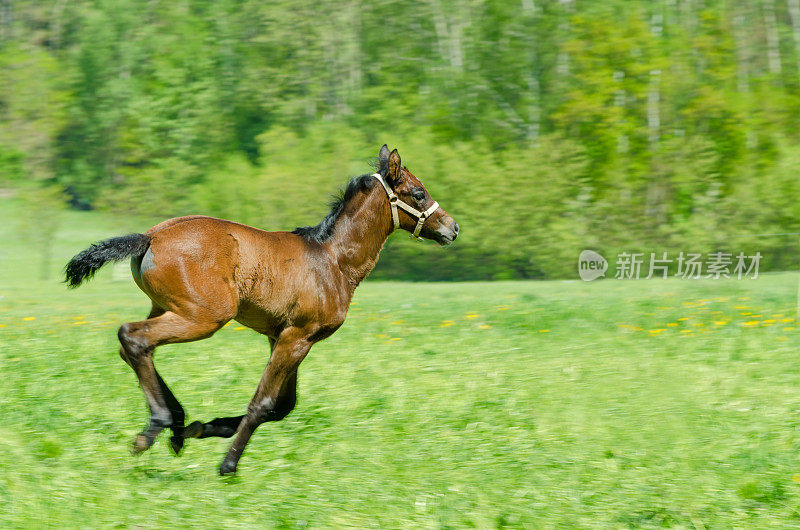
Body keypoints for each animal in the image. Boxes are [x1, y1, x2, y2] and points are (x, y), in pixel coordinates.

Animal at [65, 145, 460, 474]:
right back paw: (158, 425)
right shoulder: (297, 337)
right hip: (204, 317)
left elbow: (282, 406)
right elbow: (265, 402)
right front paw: (228, 464)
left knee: (135, 347)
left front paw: (205, 428)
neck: (332, 260)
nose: (452, 228)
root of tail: (150, 237)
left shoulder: (280, 337)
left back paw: (177, 425)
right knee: (133, 337)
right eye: (419, 192)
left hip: (165, 308)